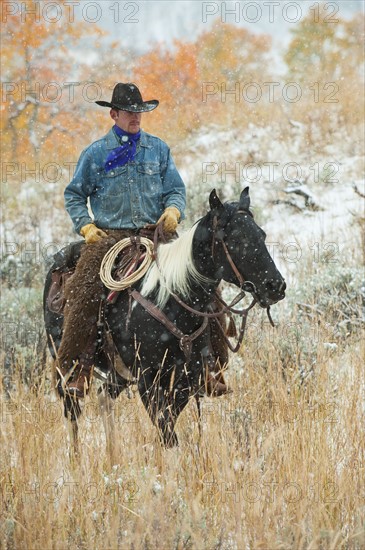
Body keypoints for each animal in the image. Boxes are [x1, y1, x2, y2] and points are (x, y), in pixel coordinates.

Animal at [44, 188, 286, 454]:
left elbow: (168, 431)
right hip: (66, 359)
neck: (170, 300)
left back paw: (113, 455)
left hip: (119, 372)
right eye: (236, 239)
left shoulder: (187, 380)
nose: (276, 286)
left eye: (261, 235)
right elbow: (166, 432)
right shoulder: (148, 380)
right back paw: (77, 459)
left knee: (104, 397)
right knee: (72, 408)